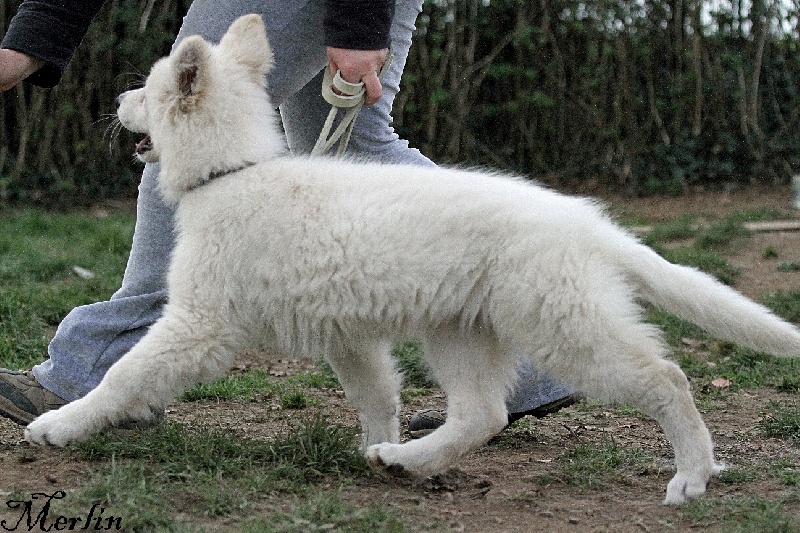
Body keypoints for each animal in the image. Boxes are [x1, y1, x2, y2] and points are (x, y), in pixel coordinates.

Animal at [23, 13, 800, 502]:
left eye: (149, 90)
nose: (115, 99)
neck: (232, 170)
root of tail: (586, 223)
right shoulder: (349, 336)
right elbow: (377, 396)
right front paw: (377, 440)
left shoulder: (198, 322)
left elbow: (126, 372)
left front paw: (62, 424)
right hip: (461, 330)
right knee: (483, 415)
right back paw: (406, 461)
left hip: (560, 324)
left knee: (664, 376)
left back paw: (693, 475)